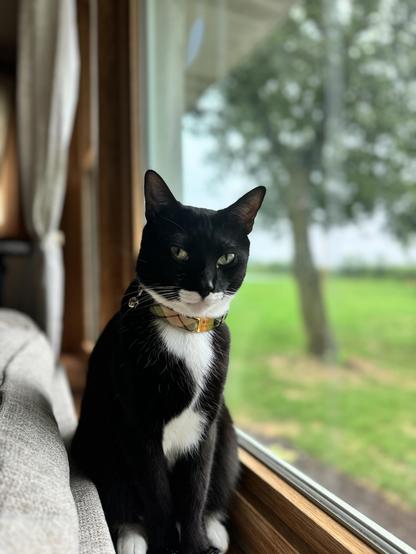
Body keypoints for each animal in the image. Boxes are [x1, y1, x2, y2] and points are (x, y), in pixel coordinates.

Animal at [70, 170, 266, 548]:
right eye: (179, 252)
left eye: (226, 257)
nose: (206, 285)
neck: (187, 331)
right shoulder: (138, 426)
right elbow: (157, 495)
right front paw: (166, 544)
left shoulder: (205, 426)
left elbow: (195, 492)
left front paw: (197, 543)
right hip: (95, 438)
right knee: (123, 496)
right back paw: (131, 537)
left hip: (227, 434)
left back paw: (215, 529)